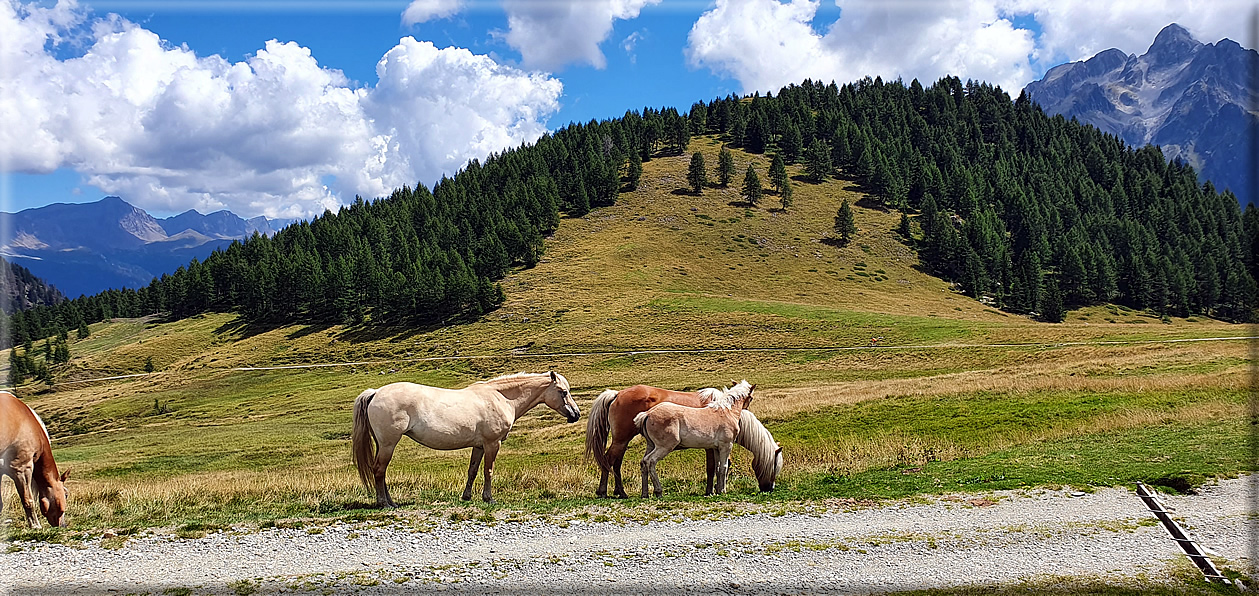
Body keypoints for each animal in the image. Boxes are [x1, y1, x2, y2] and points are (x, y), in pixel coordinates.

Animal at [350, 370, 576, 504]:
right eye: (563, 392)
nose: (576, 414)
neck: (501, 398)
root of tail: (376, 392)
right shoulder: (492, 444)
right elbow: (488, 471)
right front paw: (488, 498)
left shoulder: (479, 446)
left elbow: (473, 471)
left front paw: (466, 496)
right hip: (389, 444)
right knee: (379, 470)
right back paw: (383, 503)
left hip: (382, 444)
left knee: (381, 471)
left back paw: (390, 501)